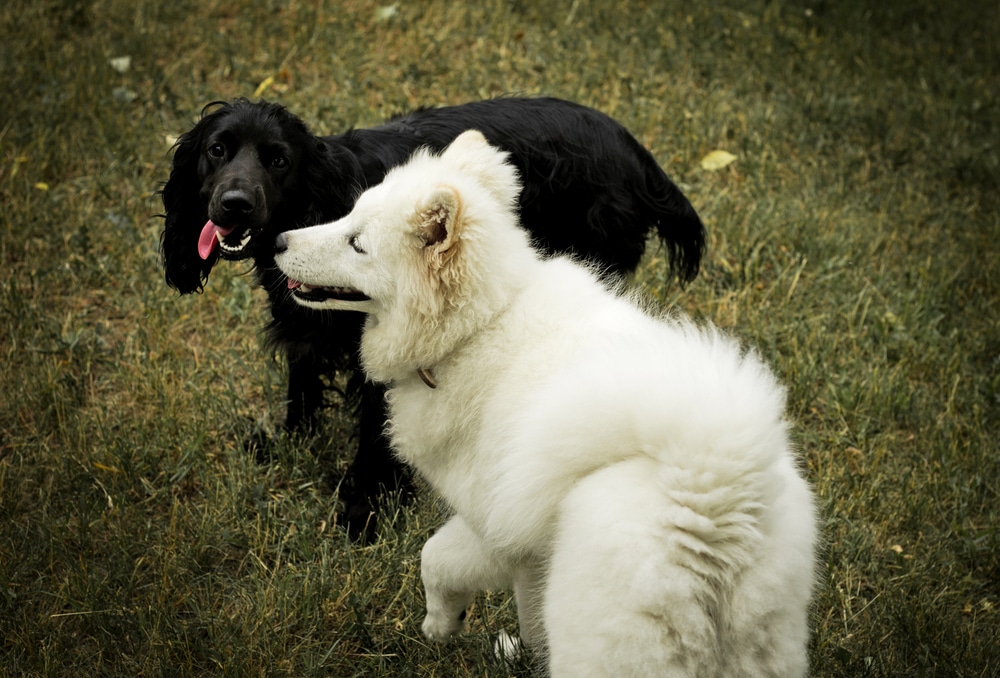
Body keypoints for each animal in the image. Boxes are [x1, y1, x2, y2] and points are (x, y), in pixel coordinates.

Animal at [160, 97, 704, 540]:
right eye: (216, 150)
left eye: (279, 160)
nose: (234, 205)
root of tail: (633, 150)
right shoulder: (304, 325)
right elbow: (302, 383)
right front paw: (290, 441)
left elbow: (374, 431)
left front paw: (365, 510)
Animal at [276, 130, 820, 676]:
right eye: (349, 214)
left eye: (357, 243)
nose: (279, 241)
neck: (479, 326)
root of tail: (714, 497)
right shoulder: (529, 551)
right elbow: (528, 615)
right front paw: (522, 654)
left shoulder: (496, 526)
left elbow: (437, 559)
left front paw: (441, 626)